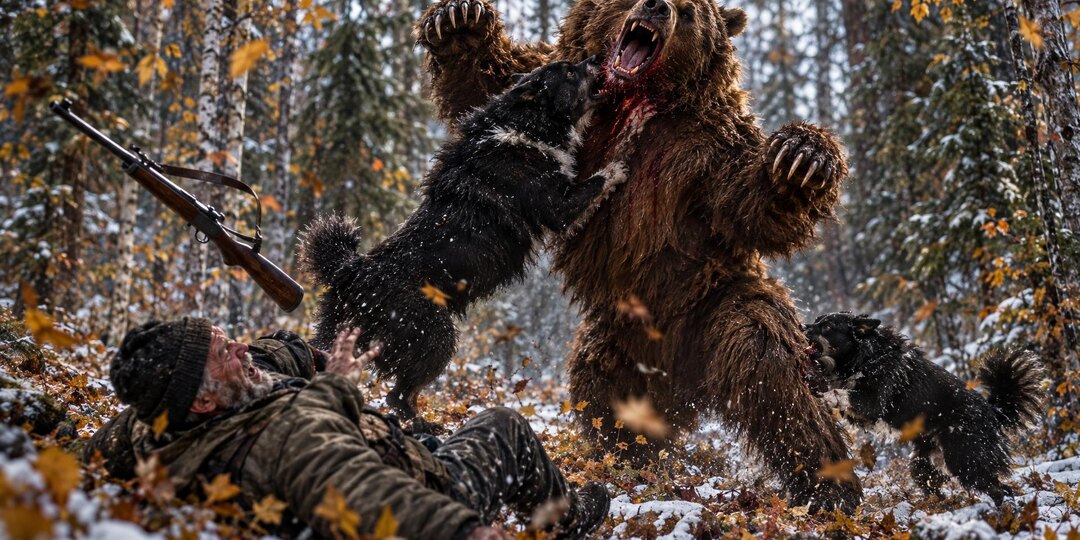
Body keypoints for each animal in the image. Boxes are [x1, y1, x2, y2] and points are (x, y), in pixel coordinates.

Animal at [415, 0, 862, 511]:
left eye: (690, 13)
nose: (658, 5)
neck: (633, 100)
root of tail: (683, 384)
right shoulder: (563, 99)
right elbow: (488, 85)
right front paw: (457, 21)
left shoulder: (704, 148)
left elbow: (747, 203)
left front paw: (803, 155)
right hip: (618, 338)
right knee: (605, 391)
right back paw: (627, 456)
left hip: (713, 302)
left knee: (770, 363)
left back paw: (830, 486)